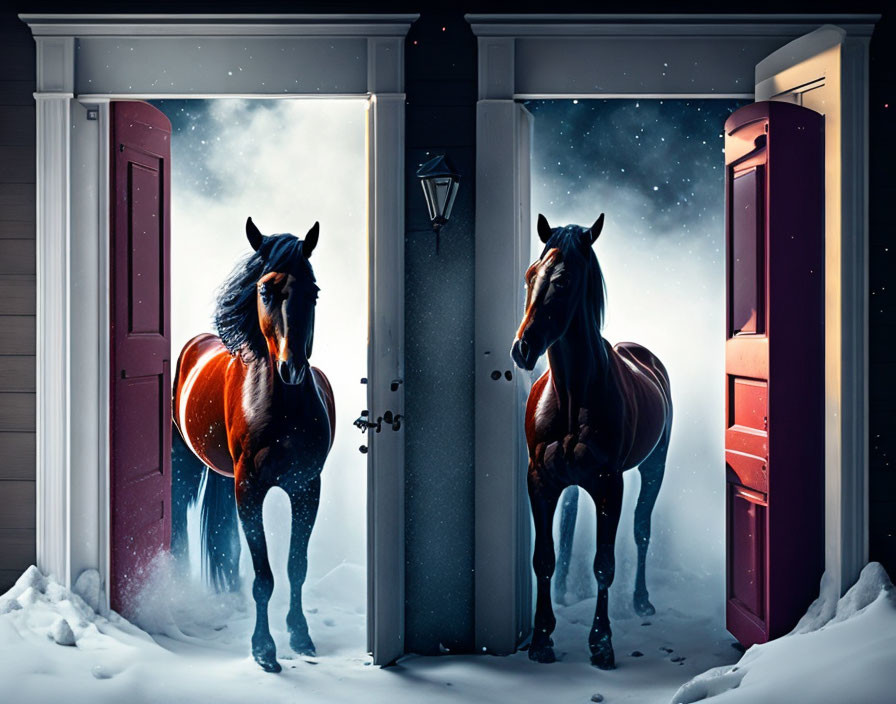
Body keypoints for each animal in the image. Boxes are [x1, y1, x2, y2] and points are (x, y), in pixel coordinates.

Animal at [512, 214, 672, 672]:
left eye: (563, 281)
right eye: (530, 275)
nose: (522, 348)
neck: (571, 397)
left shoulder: (608, 485)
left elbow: (604, 564)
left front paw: (601, 644)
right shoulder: (540, 482)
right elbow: (543, 558)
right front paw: (541, 639)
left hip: (653, 468)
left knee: (641, 528)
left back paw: (641, 601)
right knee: (569, 522)